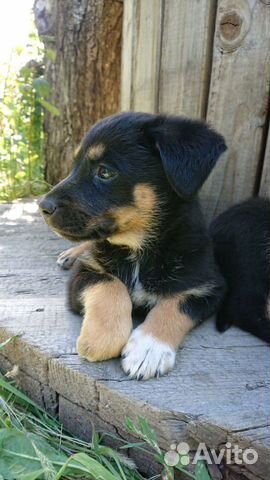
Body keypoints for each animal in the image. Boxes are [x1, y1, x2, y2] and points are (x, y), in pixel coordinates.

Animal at [39, 111, 227, 378]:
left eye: (105, 172)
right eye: (75, 166)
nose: (43, 207)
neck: (137, 249)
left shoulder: (208, 286)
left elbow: (174, 304)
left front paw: (149, 348)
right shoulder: (84, 272)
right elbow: (110, 284)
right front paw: (101, 338)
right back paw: (71, 253)